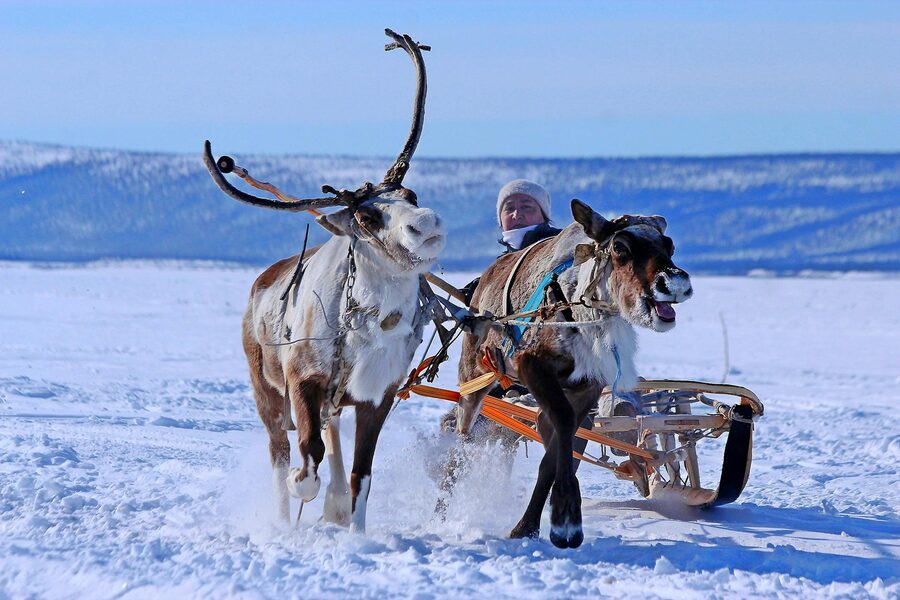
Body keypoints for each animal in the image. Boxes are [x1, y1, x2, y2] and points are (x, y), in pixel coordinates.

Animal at [202, 30, 445, 534]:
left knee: (331, 439)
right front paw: (305, 490)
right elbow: (307, 455)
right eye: (367, 217)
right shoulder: (303, 380)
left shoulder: (378, 395)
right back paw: (282, 519)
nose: (426, 224)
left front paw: (355, 532)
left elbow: (361, 474)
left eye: (411, 194)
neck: (371, 322)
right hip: (265, 393)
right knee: (279, 452)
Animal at [454, 199, 692, 548]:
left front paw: (534, 525)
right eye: (620, 247)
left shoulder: (587, 386)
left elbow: (556, 451)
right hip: (473, 378)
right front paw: (565, 514)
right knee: (463, 434)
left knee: (543, 424)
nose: (675, 283)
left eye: (669, 244)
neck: (577, 308)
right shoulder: (532, 364)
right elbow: (563, 426)